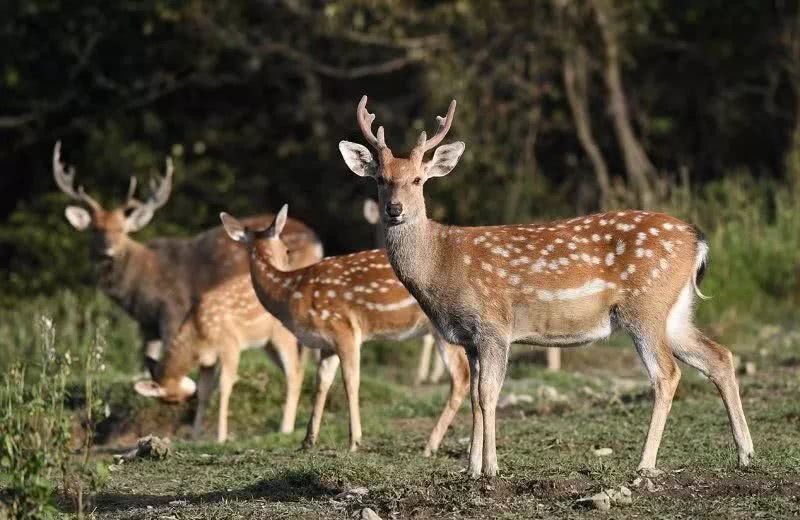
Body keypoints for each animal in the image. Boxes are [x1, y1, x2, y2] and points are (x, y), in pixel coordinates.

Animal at [52, 142, 324, 382]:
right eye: (95, 229)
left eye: (121, 230)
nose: (107, 248)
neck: (136, 289)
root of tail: (316, 241)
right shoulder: (147, 325)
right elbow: (146, 359)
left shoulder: (173, 308)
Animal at [134, 274, 306, 440]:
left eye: (173, 399)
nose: (190, 397)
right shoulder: (207, 361)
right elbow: (205, 392)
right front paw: (195, 438)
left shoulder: (230, 345)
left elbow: (224, 387)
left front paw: (221, 437)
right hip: (267, 343)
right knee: (296, 371)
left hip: (282, 333)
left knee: (294, 372)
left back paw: (286, 429)